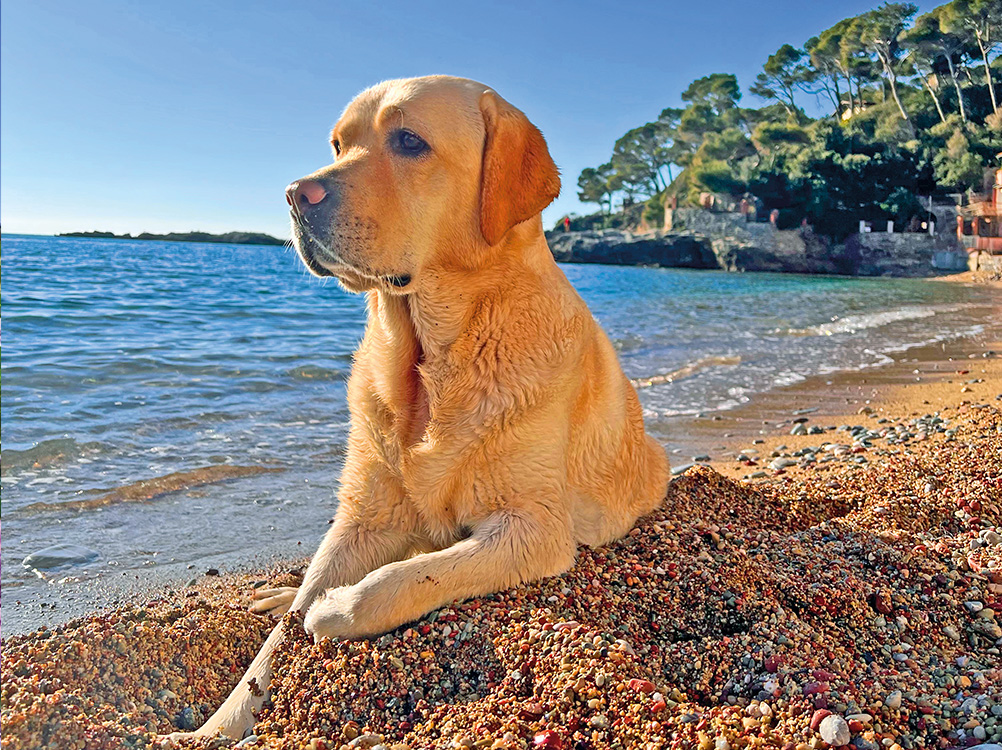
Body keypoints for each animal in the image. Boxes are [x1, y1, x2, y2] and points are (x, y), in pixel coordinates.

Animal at [172, 73, 669, 740]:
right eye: (337, 144)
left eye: (409, 141)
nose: (295, 195)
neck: (429, 356)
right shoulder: (363, 515)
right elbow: (276, 644)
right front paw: (216, 727)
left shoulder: (533, 529)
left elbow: (398, 581)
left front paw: (334, 607)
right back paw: (276, 593)